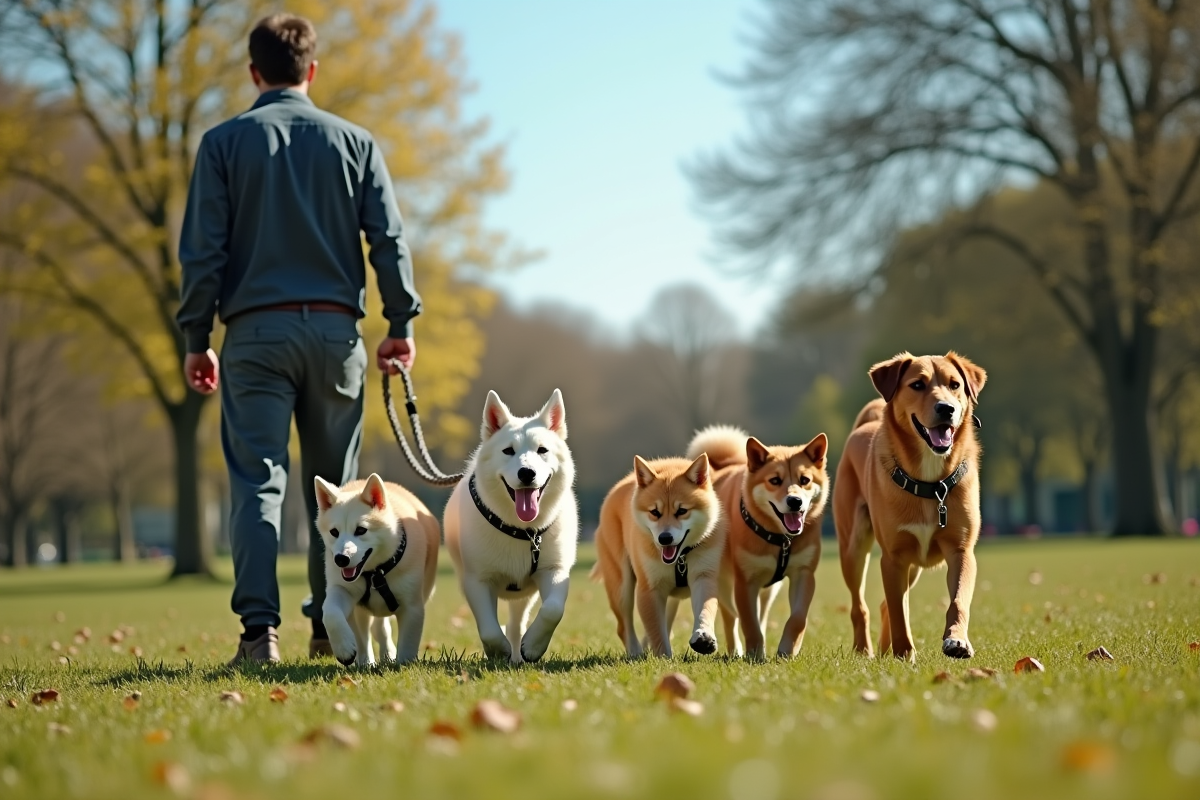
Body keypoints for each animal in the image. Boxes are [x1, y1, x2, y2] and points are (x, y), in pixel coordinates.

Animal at [314, 472, 441, 666]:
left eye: (361, 530)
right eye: (334, 532)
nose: (341, 559)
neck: (375, 573)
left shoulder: (412, 606)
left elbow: (408, 643)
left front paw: (403, 665)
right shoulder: (343, 589)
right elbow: (330, 612)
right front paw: (344, 648)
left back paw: (386, 655)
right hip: (360, 610)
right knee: (365, 632)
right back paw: (366, 662)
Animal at [451, 391, 580, 666]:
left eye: (542, 450)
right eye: (508, 451)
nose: (527, 473)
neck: (524, 531)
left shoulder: (555, 570)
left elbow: (553, 610)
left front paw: (533, 646)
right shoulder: (477, 580)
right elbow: (489, 628)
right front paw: (498, 650)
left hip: (524, 595)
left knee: (516, 624)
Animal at [590, 453, 720, 662]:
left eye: (682, 511)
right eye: (655, 512)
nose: (664, 538)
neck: (681, 559)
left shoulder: (704, 577)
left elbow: (705, 610)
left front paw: (704, 638)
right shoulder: (649, 589)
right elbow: (657, 632)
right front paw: (664, 658)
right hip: (622, 588)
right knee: (624, 627)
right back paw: (635, 652)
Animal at [686, 429, 825, 662]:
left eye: (805, 480)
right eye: (775, 480)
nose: (795, 501)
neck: (781, 539)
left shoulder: (804, 574)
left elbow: (797, 618)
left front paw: (787, 650)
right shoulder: (745, 580)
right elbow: (749, 622)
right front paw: (755, 655)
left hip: (769, 590)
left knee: (761, 614)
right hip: (723, 582)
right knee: (731, 617)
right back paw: (736, 650)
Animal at [830, 352, 988, 662]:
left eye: (955, 384)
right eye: (917, 384)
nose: (946, 409)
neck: (930, 482)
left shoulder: (961, 551)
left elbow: (958, 600)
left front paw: (957, 640)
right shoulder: (893, 558)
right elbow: (898, 613)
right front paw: (904, 653)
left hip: (914, 566)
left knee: (884, 605)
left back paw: (883, 649)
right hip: (853, 549)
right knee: (861, 606)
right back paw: (864, 650)